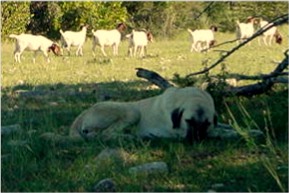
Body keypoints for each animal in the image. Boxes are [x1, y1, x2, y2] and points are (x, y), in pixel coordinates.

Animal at [68, 86, 216, 142]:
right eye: (188, 121)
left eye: (207, 123)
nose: (198, 138)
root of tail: (84, 112)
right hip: (133, 112)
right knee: (106, 134)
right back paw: (131, 137)